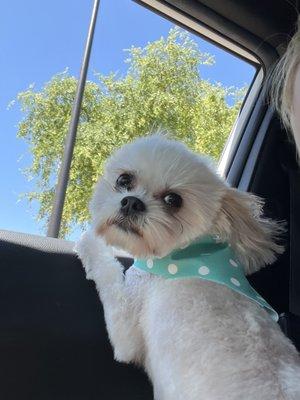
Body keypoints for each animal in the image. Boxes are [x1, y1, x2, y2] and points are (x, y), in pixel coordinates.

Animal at [75, 134, 300, 400]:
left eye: (173, 200)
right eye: (124, 180)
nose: (131, 202)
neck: (188, 256)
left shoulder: (127, 319)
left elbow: (108, 274)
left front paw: (88, 242)